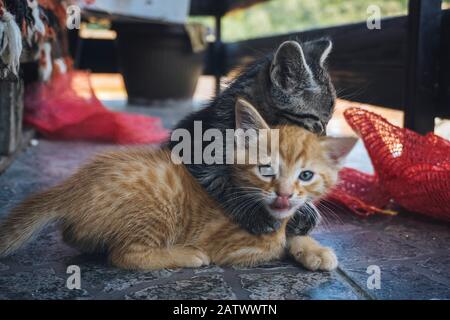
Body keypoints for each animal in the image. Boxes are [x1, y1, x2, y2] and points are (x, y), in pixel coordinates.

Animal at [0, 99, 350, 272]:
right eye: (266, 170)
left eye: (306, 175)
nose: (285, 194)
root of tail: (74, 185)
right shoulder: (231, 244)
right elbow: (275, 246)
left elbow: (291, 234)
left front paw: (313, 249)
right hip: (157, 205)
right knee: (124, 255)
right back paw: (185, 254)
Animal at [171, 40, 336, 235]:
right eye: (318, 124)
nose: (323, 142)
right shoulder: (194, 154)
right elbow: (217, 181)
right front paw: (257, 212)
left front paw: (304, 208)